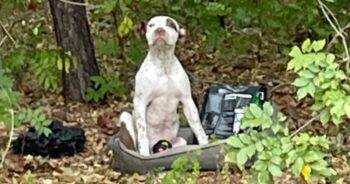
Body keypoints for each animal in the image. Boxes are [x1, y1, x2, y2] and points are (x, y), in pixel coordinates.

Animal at [119, 16, 208, 157]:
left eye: (171, 24)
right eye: (151, 25)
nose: (159, 30)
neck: (163, 62)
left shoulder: (187, 101)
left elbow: (198, 128)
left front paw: (205, 145)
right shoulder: (140, 102)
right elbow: (142, 134)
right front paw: (144, 154)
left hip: (179, 141)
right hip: (125, 117)